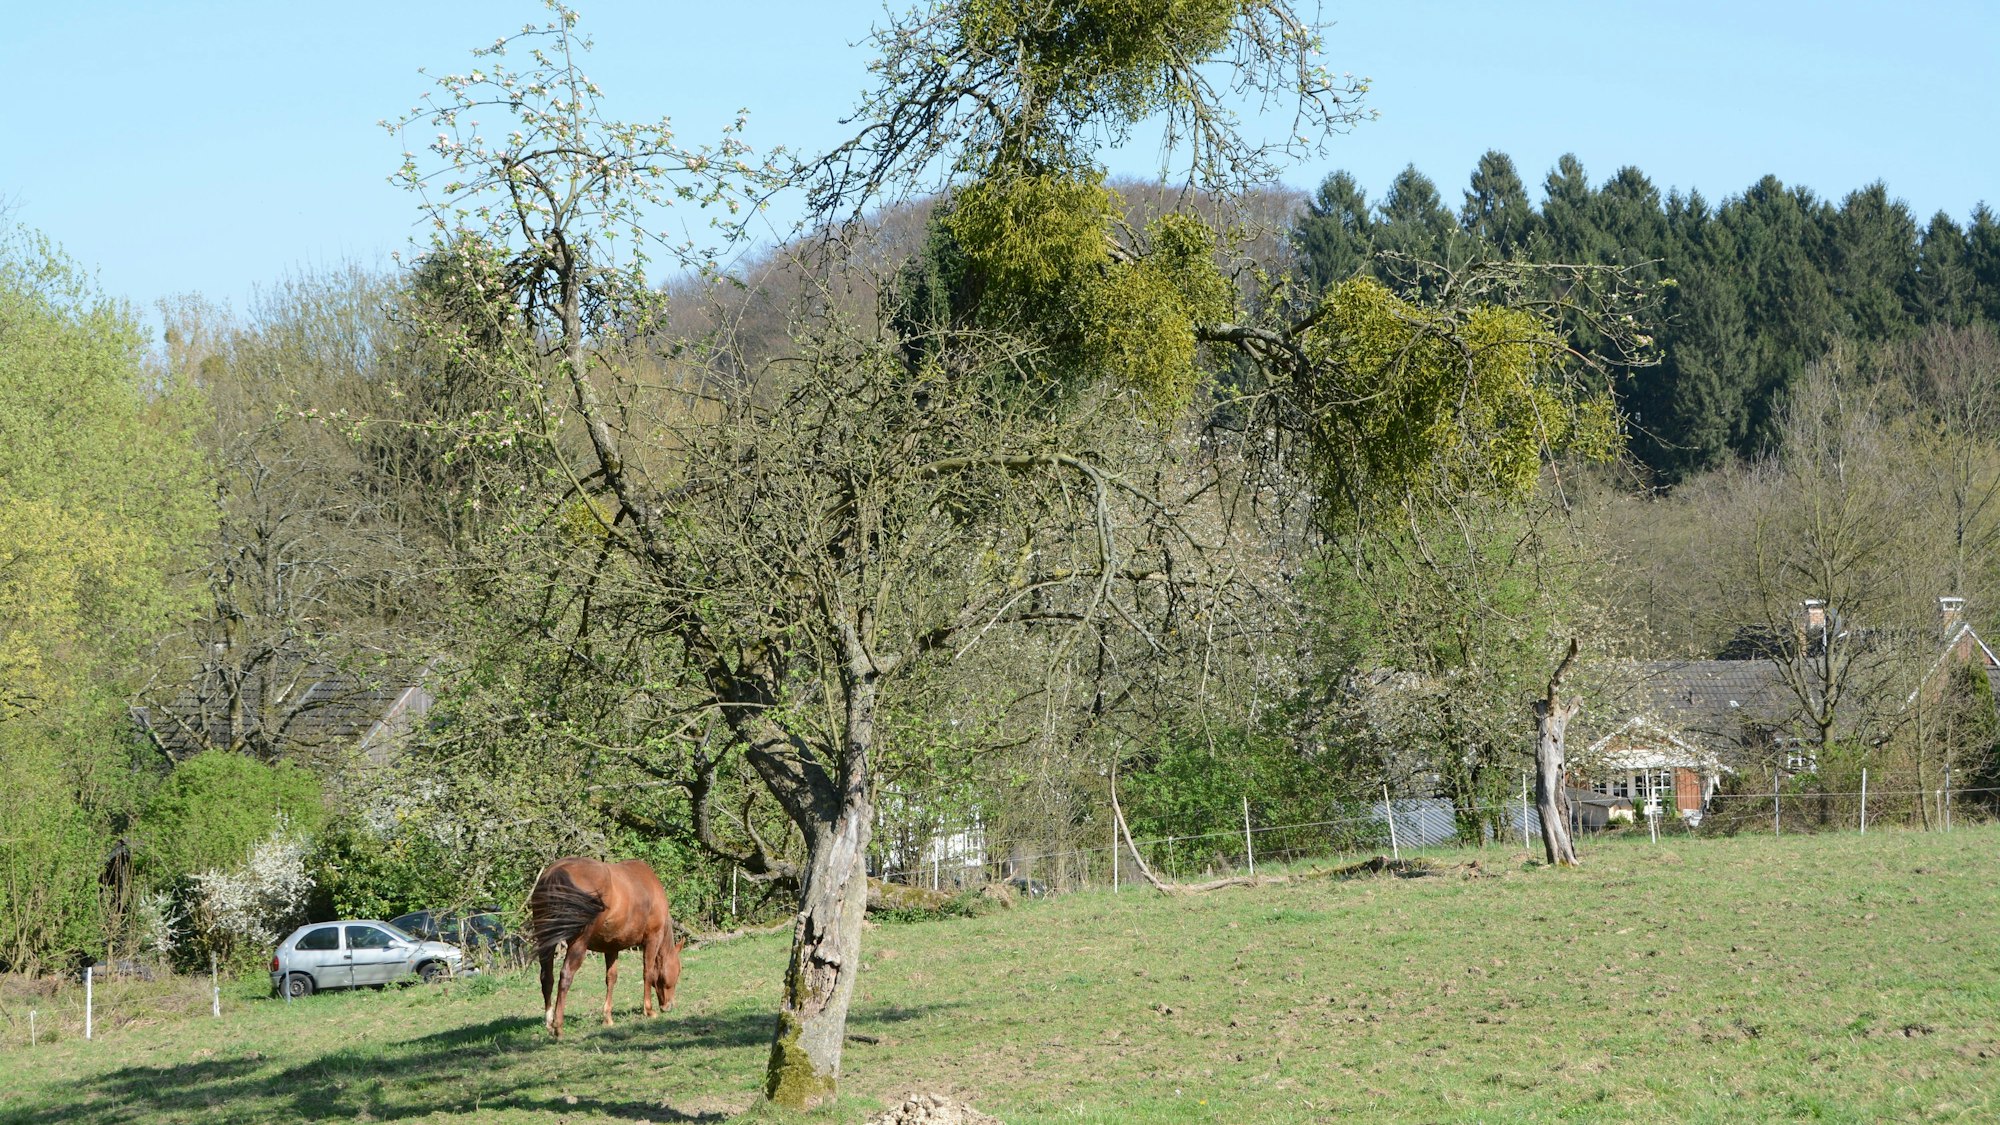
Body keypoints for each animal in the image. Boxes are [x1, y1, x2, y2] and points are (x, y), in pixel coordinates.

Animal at [527, 857, 686, 1038]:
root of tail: (556, 873)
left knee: (547, 977)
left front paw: (607, 1017)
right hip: (578, 944)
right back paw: (558, 1026)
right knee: (565, 976)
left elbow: (611, 978)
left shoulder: (611, 947)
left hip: (545, 940)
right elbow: (648, 973)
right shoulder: (652, 939)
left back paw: (549, 1022)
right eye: (678, 971)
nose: (669, 1006)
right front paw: (649, 1010)